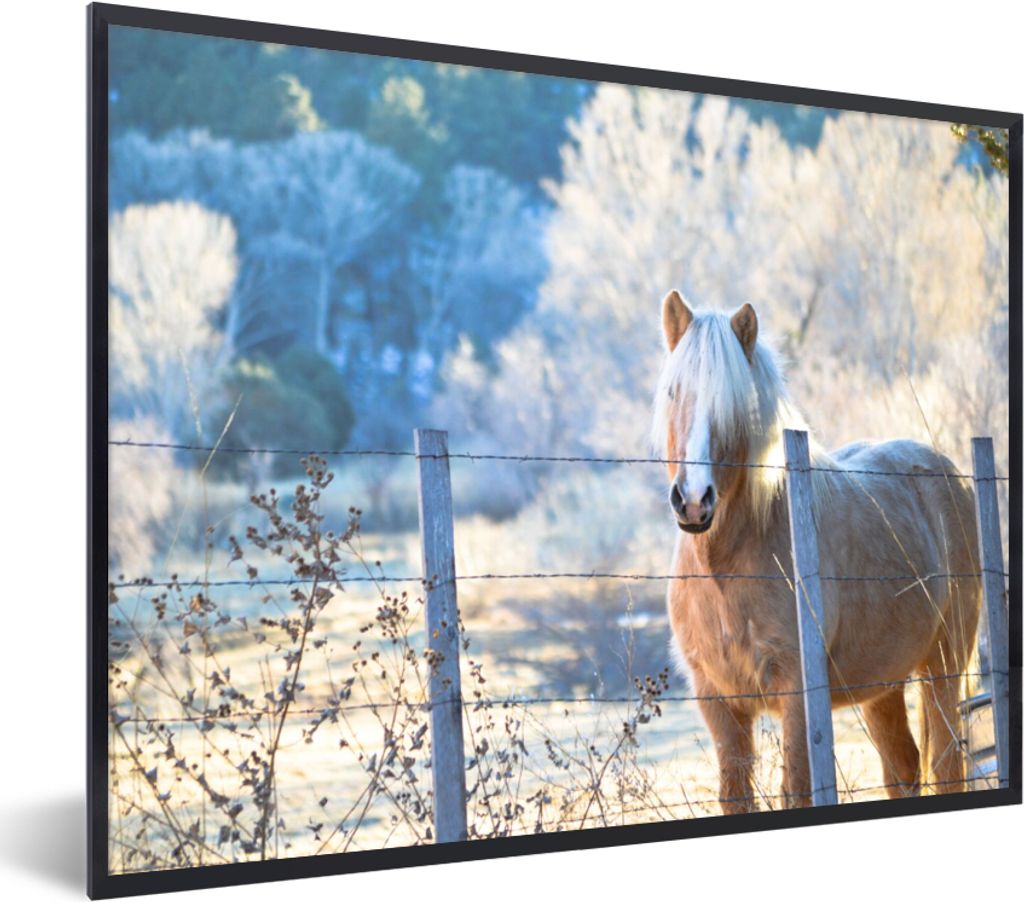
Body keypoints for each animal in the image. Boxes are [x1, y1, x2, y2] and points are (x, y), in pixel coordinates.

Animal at [651, 289, 981, 812]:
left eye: (736, 404)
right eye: (673, 392)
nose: (694, 500)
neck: (728, 570)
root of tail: (948, 471)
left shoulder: (798, 697)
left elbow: (797, 791)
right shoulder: (718, 703)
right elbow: (735, 797)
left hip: (944, 668)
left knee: (948, 765)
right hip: (883, 685)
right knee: (903, 767)